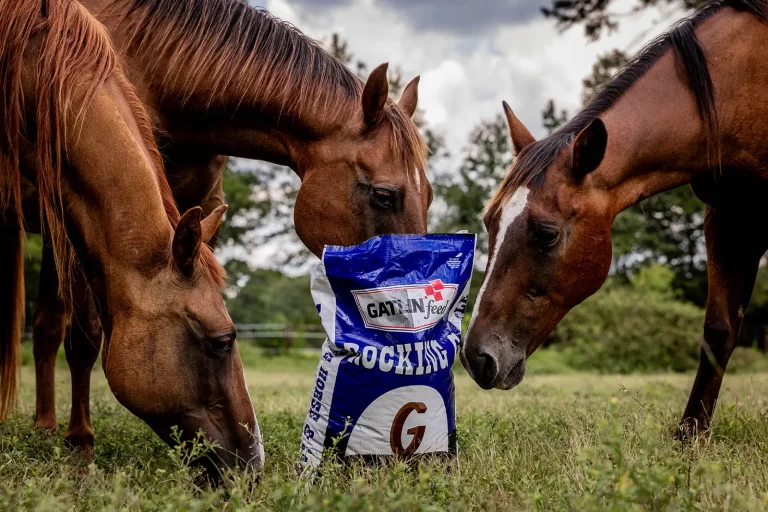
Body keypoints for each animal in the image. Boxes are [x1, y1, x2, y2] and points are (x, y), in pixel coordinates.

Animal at [27, 0, 430, 456]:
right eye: (384, 196)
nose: (415, 325)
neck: (159, 74)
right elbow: (83, 340)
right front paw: (81, 442)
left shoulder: (195, 221)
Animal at [462, 0, 768, 438]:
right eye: (490, 222)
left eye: (547, 233)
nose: (476, 357)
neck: (742, 85)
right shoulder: (728, 219)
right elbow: (718, 330)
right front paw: (689, 436)